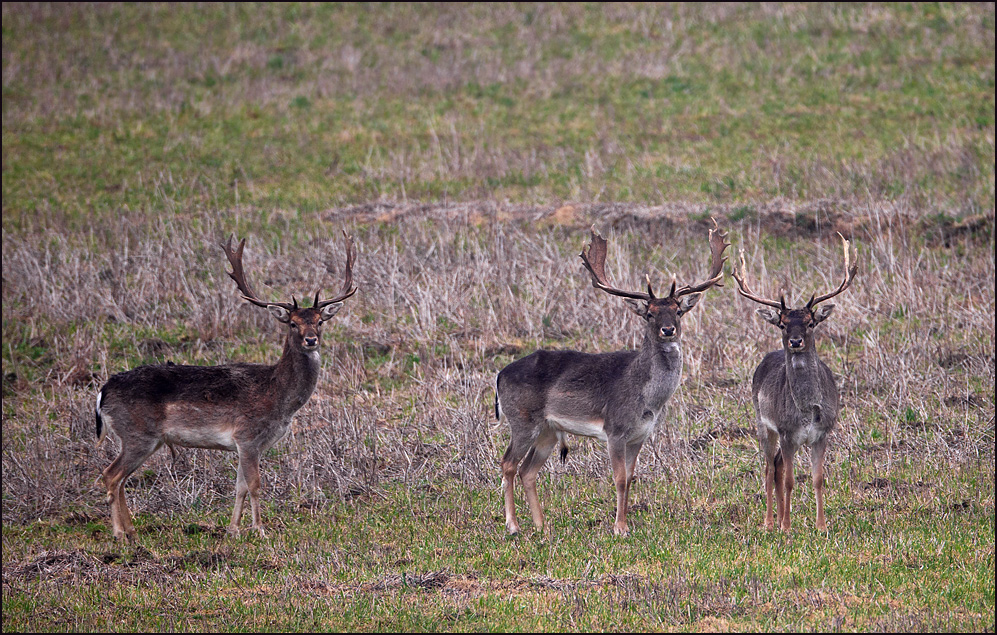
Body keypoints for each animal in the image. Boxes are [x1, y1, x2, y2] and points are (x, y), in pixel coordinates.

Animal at [94, 231, 358, 540]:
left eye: (319, 321)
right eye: (292, 323)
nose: (311, 339)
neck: (279, 397)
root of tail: (103, 392)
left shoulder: (250, 444)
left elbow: (240, 486)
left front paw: (233, 529)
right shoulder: (247, 436)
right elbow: (255, 484)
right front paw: (260, 530)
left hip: (145, 438)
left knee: (121, 478)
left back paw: (132, 530)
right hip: (137, 434)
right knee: (111, 475)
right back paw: (119, 533)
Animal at [494, 219, 728, 536]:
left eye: (678, 310)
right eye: (649, 314)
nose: (668, 330)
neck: (648, 400)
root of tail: (499, 376)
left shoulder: (640, 435)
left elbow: (630, 478)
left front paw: (625, 523)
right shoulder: (615, 429)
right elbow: (618, 478)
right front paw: (619, 528)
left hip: (547, 429)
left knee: (527, 470)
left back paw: (542, 526)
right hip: (521, 418)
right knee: (508, 463)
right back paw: (513, 525)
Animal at [732, 232, 856, 532]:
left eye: (811, 322)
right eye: (782, 323)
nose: (796, 341)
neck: (807, 410)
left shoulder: (822, 433)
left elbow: (818, 478)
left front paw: (821, 526)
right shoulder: (787, 432)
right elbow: (789, 480)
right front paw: (787, 527)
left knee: (776, 465)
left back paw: (777, 518)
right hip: (762, 421)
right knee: (769, 467)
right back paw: (770, 522)